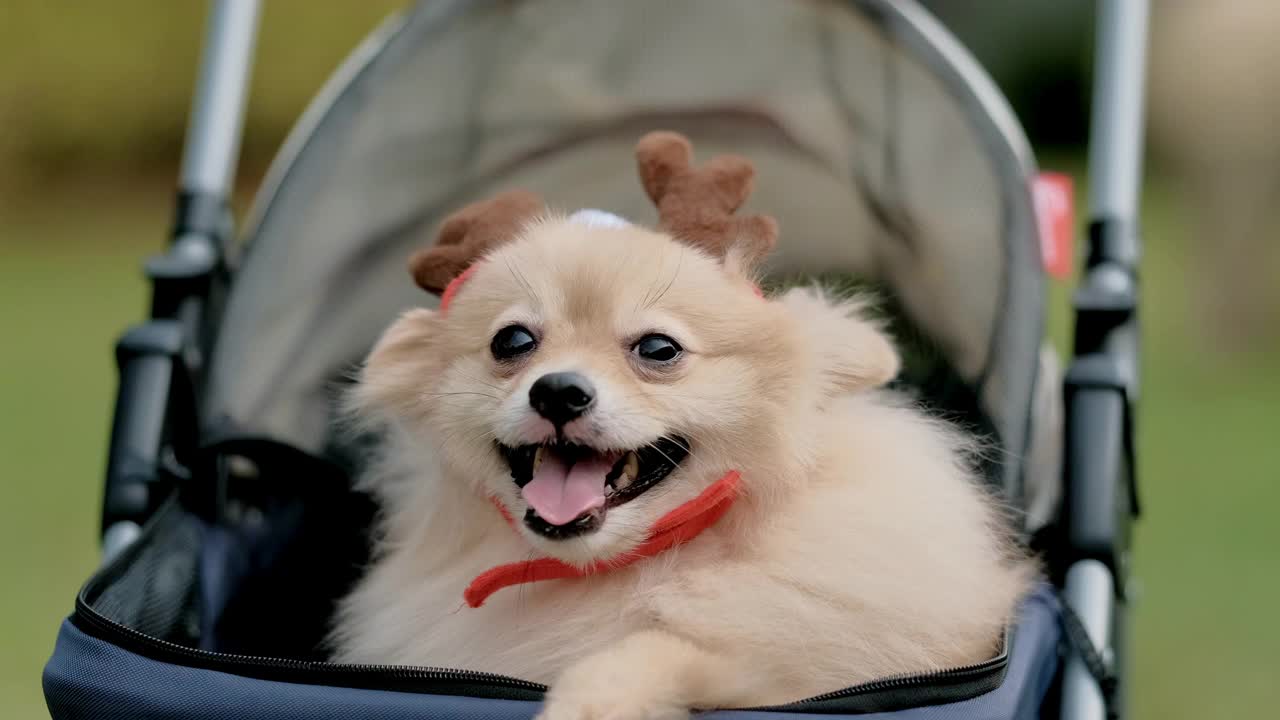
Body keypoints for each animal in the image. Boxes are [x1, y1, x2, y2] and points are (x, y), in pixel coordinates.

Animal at [330, 131, 1029, 712]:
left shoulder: (798, 662)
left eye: (658, 349)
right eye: (513, 341)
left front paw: (590, 702)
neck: (623, 570)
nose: (558, 392)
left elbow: (665, 649)